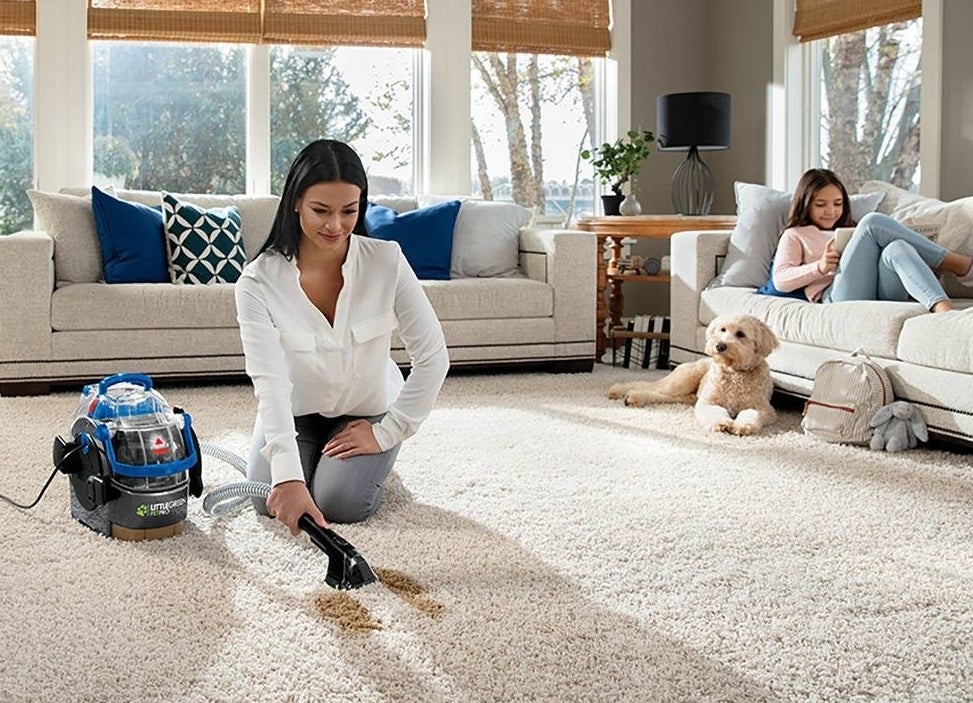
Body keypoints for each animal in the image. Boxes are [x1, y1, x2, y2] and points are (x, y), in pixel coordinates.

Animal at [612, 314, 780, 434]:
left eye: (741, 334)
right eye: (722, 329)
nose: (719, 346)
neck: (734, 373)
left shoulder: (763, 408)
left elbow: (750, 414)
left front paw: (742, 426)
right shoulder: (708, 402)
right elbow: (716, 412)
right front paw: (722, 424)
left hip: (685, 396)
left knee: (662, 396)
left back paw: (633, 398)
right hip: (682, 380)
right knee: (650, 387)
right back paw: (625, 393)